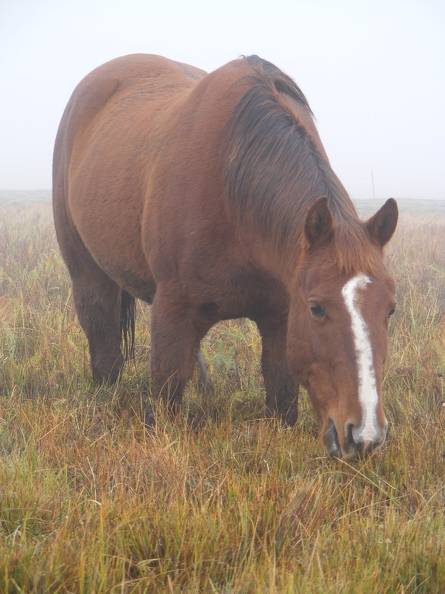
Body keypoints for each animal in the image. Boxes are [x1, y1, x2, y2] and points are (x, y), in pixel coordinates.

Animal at [53, 52, 398, 458]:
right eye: (316, 308)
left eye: (390, 309)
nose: (364, 435)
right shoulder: (172, 309)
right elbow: (167, 392)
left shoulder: (280, 317)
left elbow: (281, 393)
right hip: (88, 275)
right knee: (103, 346)